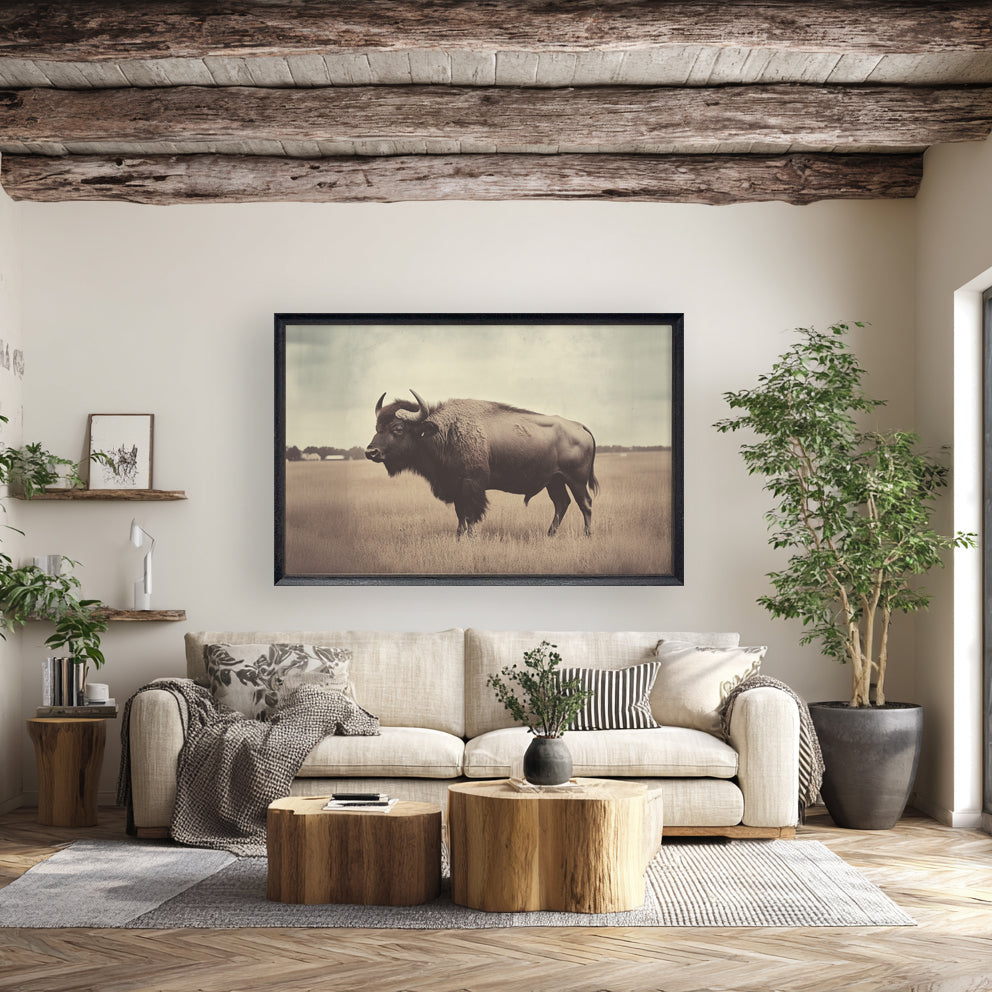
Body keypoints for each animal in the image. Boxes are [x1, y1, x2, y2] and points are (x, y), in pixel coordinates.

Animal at [365, 390, 600, 538]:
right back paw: (550, 534)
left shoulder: (472, 485)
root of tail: (579, 426)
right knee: (561, 503)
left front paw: (470, 537)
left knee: (585, 504)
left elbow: (471, 515)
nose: (370, 451)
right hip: (554, 481)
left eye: (397, 429)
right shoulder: (456, 487)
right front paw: (459, 537)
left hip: (576, 480)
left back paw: (587, 535)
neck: (444, 433)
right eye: (377, 427)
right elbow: (460, 514)